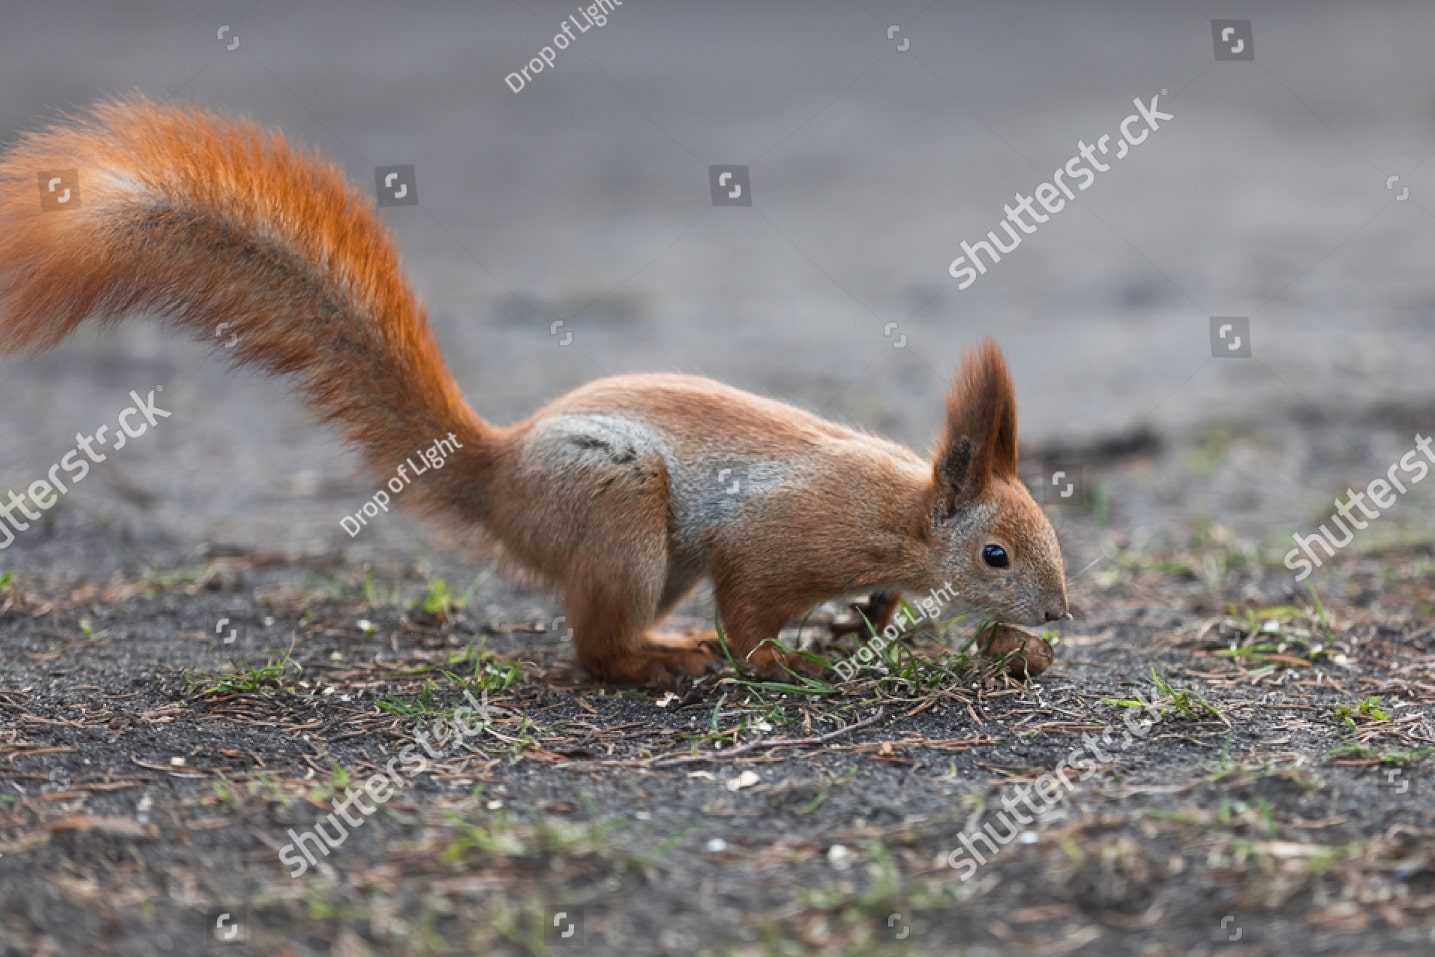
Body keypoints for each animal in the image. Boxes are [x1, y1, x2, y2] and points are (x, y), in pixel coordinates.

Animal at [0, 97, 1069, 686]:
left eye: (1049, 534)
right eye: (996, 554)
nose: (1058, 616)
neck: (902, 511)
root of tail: (498, 467)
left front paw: (866, 622)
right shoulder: (781, 537)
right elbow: (750, 606)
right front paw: (784, 661)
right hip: (617, 512)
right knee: (594, 648)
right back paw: (656, 660)